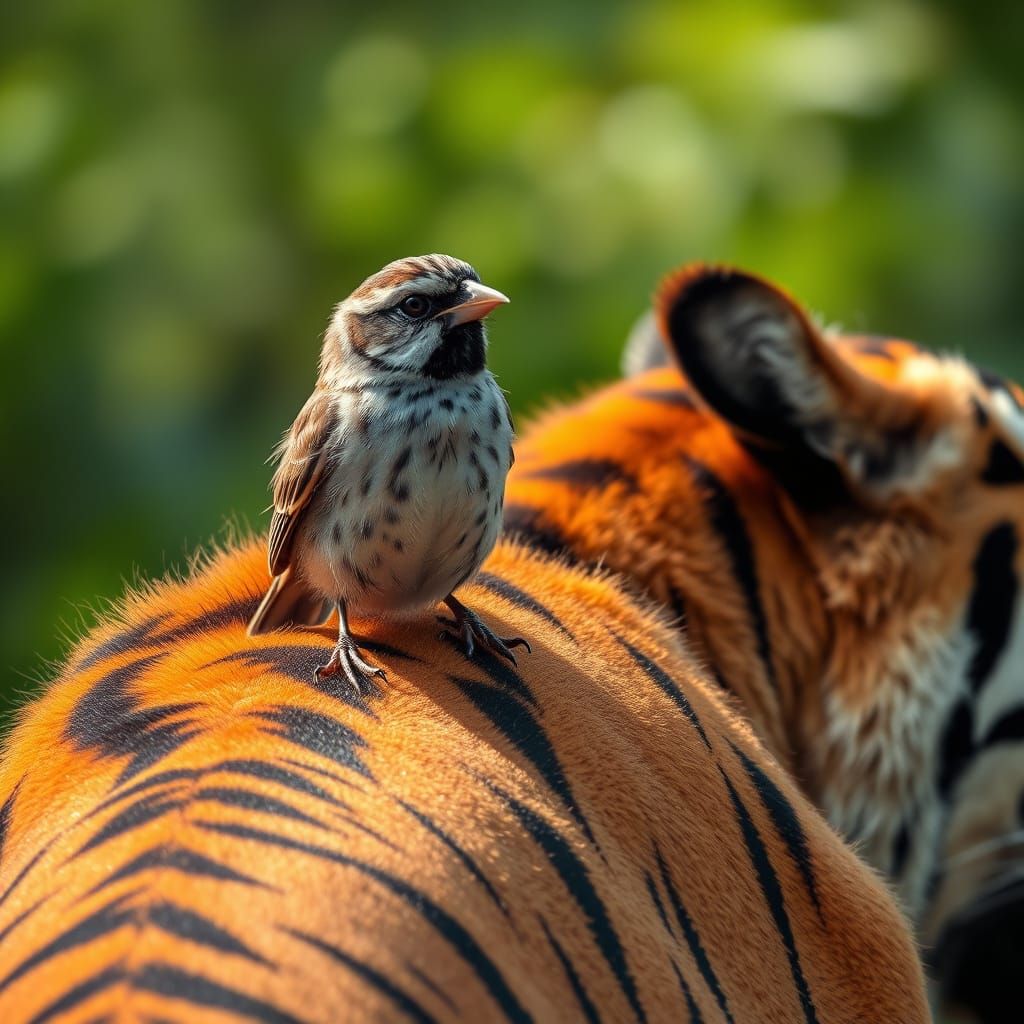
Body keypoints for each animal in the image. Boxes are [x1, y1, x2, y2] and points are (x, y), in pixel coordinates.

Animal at [4, 259, 1015, 1022]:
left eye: (462, 287)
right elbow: (340, 599)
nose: (480, 299)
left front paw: (478, 627)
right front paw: (350, 646)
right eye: (418, 304)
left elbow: (456, 593)